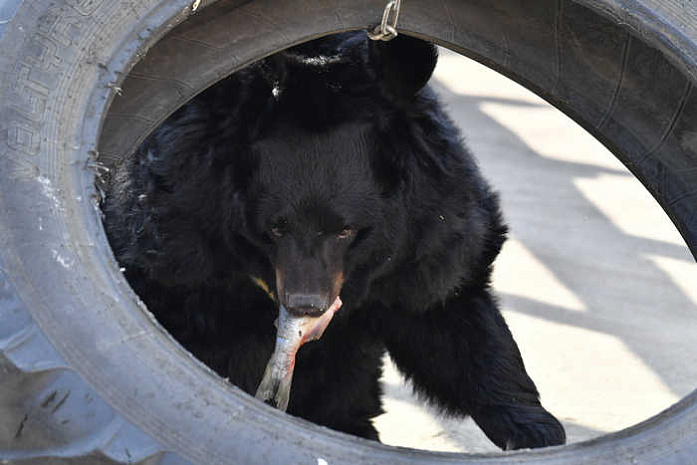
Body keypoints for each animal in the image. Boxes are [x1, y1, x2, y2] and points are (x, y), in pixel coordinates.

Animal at [103, 29, 568, 450]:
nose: (306, 304)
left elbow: (448, 314)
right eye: (275, 227)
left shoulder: (430, 231)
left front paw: (535, 428)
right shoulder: (178, 233)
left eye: (346, 230)